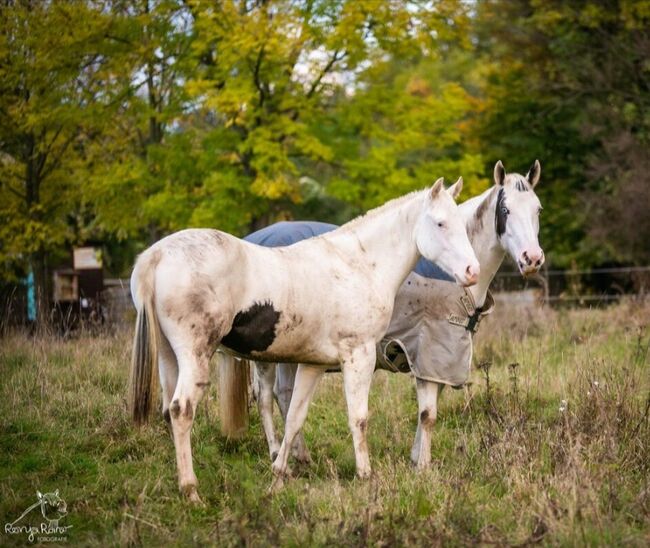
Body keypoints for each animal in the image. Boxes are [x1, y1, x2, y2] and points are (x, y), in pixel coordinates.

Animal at [129, 177, 478, 500]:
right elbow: (359, 418)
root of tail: (156, 256)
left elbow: (295, 417)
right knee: (182, 410)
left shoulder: (313, 365)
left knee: (169, 411)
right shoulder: (359, 356)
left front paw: (279, 474)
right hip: (196, 357)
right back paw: (191, 491)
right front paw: (366, 475)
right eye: (440, 223)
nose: (472, 271)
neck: (359, 265)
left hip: (169, 358)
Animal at [230, 161, 544, 468]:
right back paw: (277, 453)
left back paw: (299, 456)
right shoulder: (426, 352)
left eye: (538, 209)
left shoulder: (440, 362)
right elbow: (428, 414)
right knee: (266, 398)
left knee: (284, 396)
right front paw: (422, 467)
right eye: (506, 210)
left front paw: (417, 458)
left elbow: (429, 411)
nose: (532, 258)